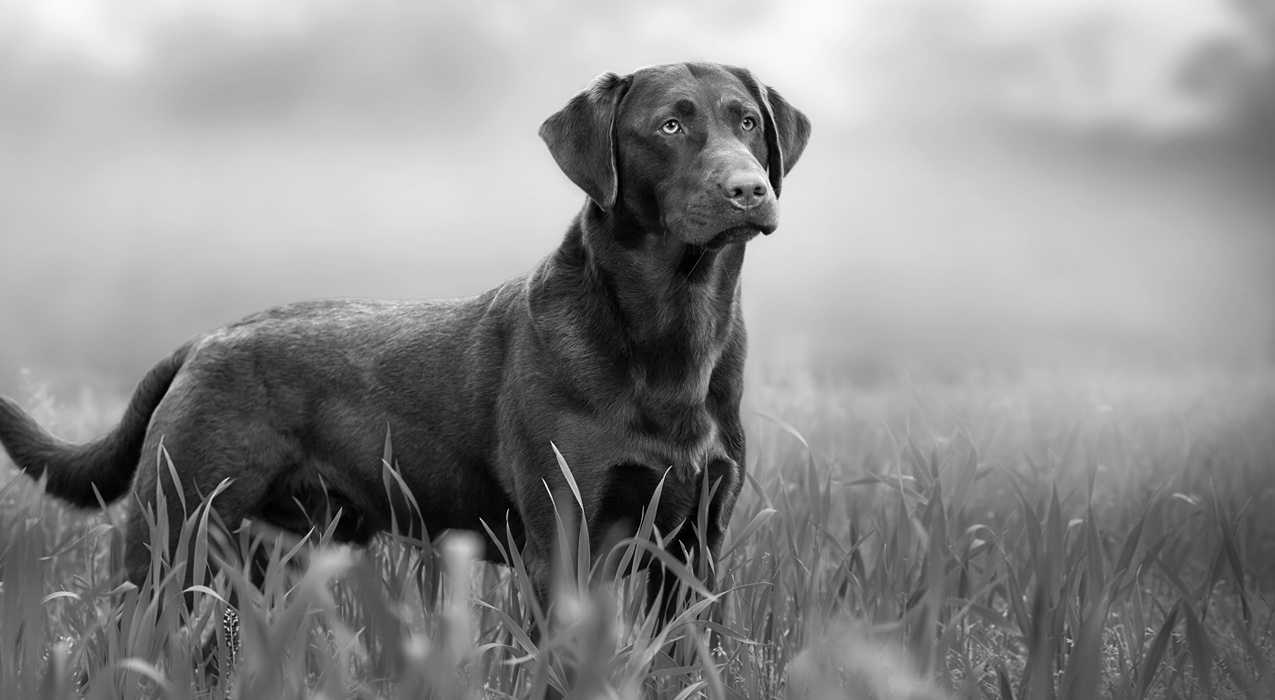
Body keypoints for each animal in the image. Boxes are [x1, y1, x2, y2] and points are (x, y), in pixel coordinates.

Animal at [0, 61, 810, 622]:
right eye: (668, 127)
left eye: (747, 122)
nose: (749, 189)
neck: (673, 331)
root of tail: (206, 338)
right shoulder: (563, 538)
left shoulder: (697, 546)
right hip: (171, 532)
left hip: (281, 549)